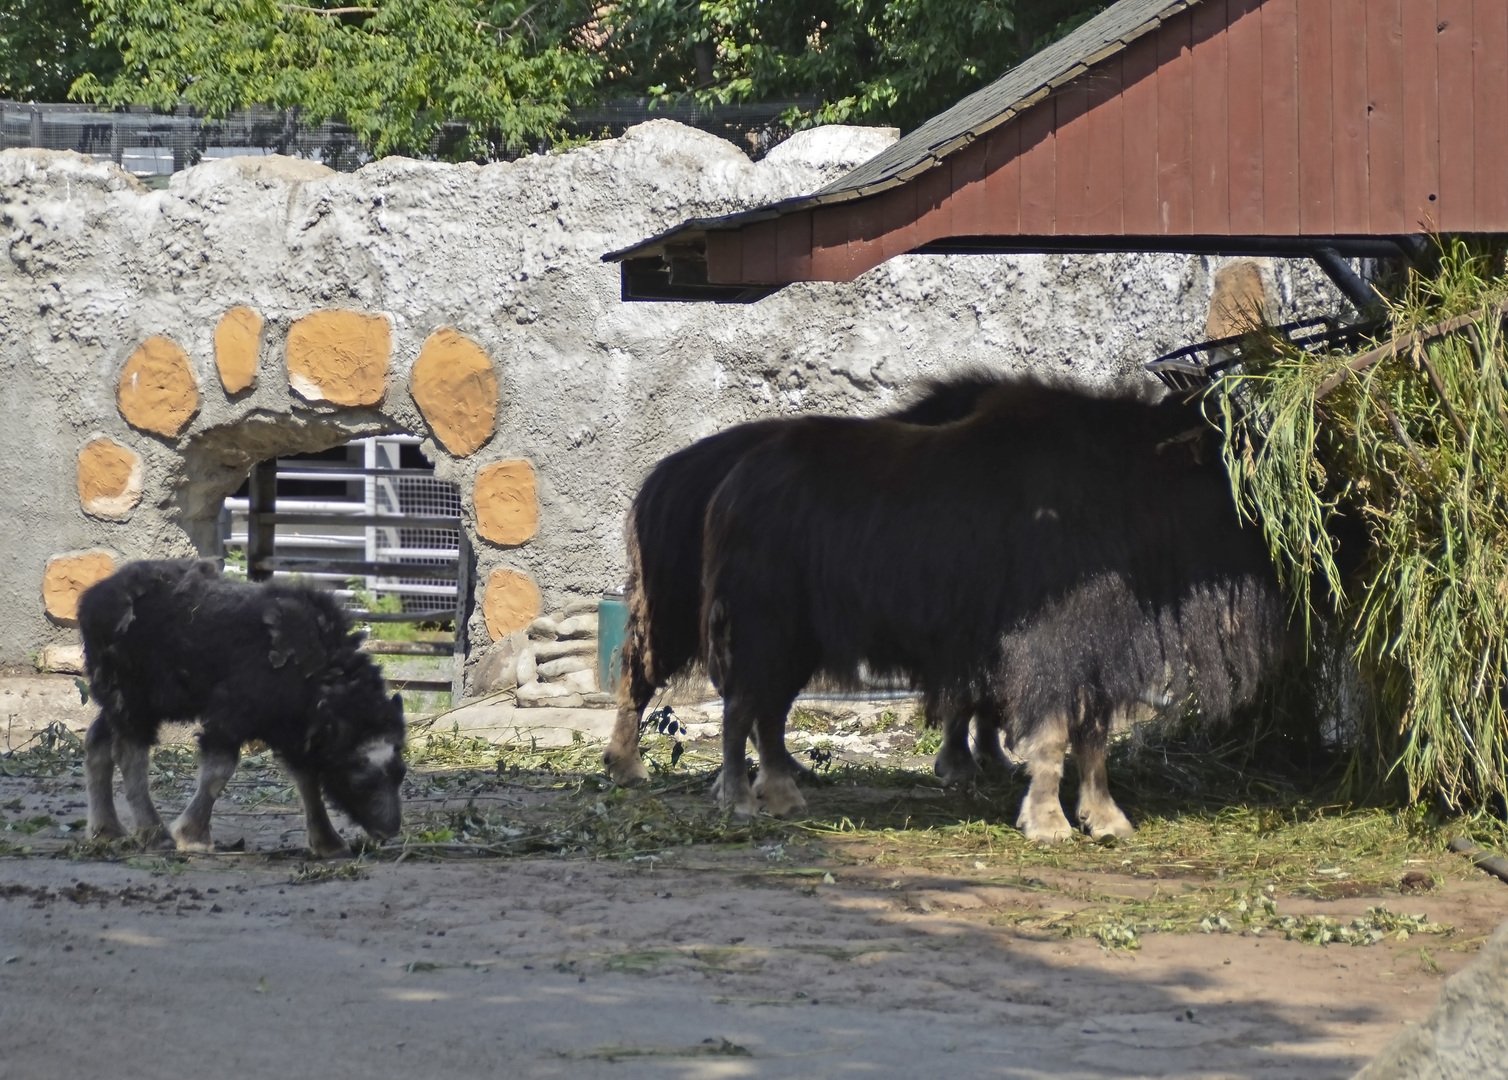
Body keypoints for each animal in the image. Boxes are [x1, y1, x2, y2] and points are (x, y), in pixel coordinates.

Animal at [81, 561, 407, 856]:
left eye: (400, 772)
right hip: (132, 700)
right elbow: (218, 773)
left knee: (97, 741)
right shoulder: (230, 719)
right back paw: (155, 833)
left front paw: (329, 842)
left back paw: (107, 829)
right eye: (359, 776)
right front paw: (193, 836)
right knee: (129, 753)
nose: (389, 831)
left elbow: (308, 781)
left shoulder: (294, 734)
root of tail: (91, 599)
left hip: (120, 703)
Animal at [603, 371, 1013, 784]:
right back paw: (627, 765)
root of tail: (667, 473)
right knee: (643, 671)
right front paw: (964, 764)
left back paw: (791, 769)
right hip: (685, 608)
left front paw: (989, 759)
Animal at [699, 375, 1290, 838]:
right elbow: (1053, 737)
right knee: (743, 709)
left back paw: (782, 799)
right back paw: (740, 802)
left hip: (794, 643)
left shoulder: (1097, 649)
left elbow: (1093, 739)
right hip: (767, 630)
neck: (1129, 485)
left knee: (768, 713)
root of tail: (732, 487)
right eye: (1234, 458)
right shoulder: (1051, 645)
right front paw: (1048, 824)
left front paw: (1106, 820)